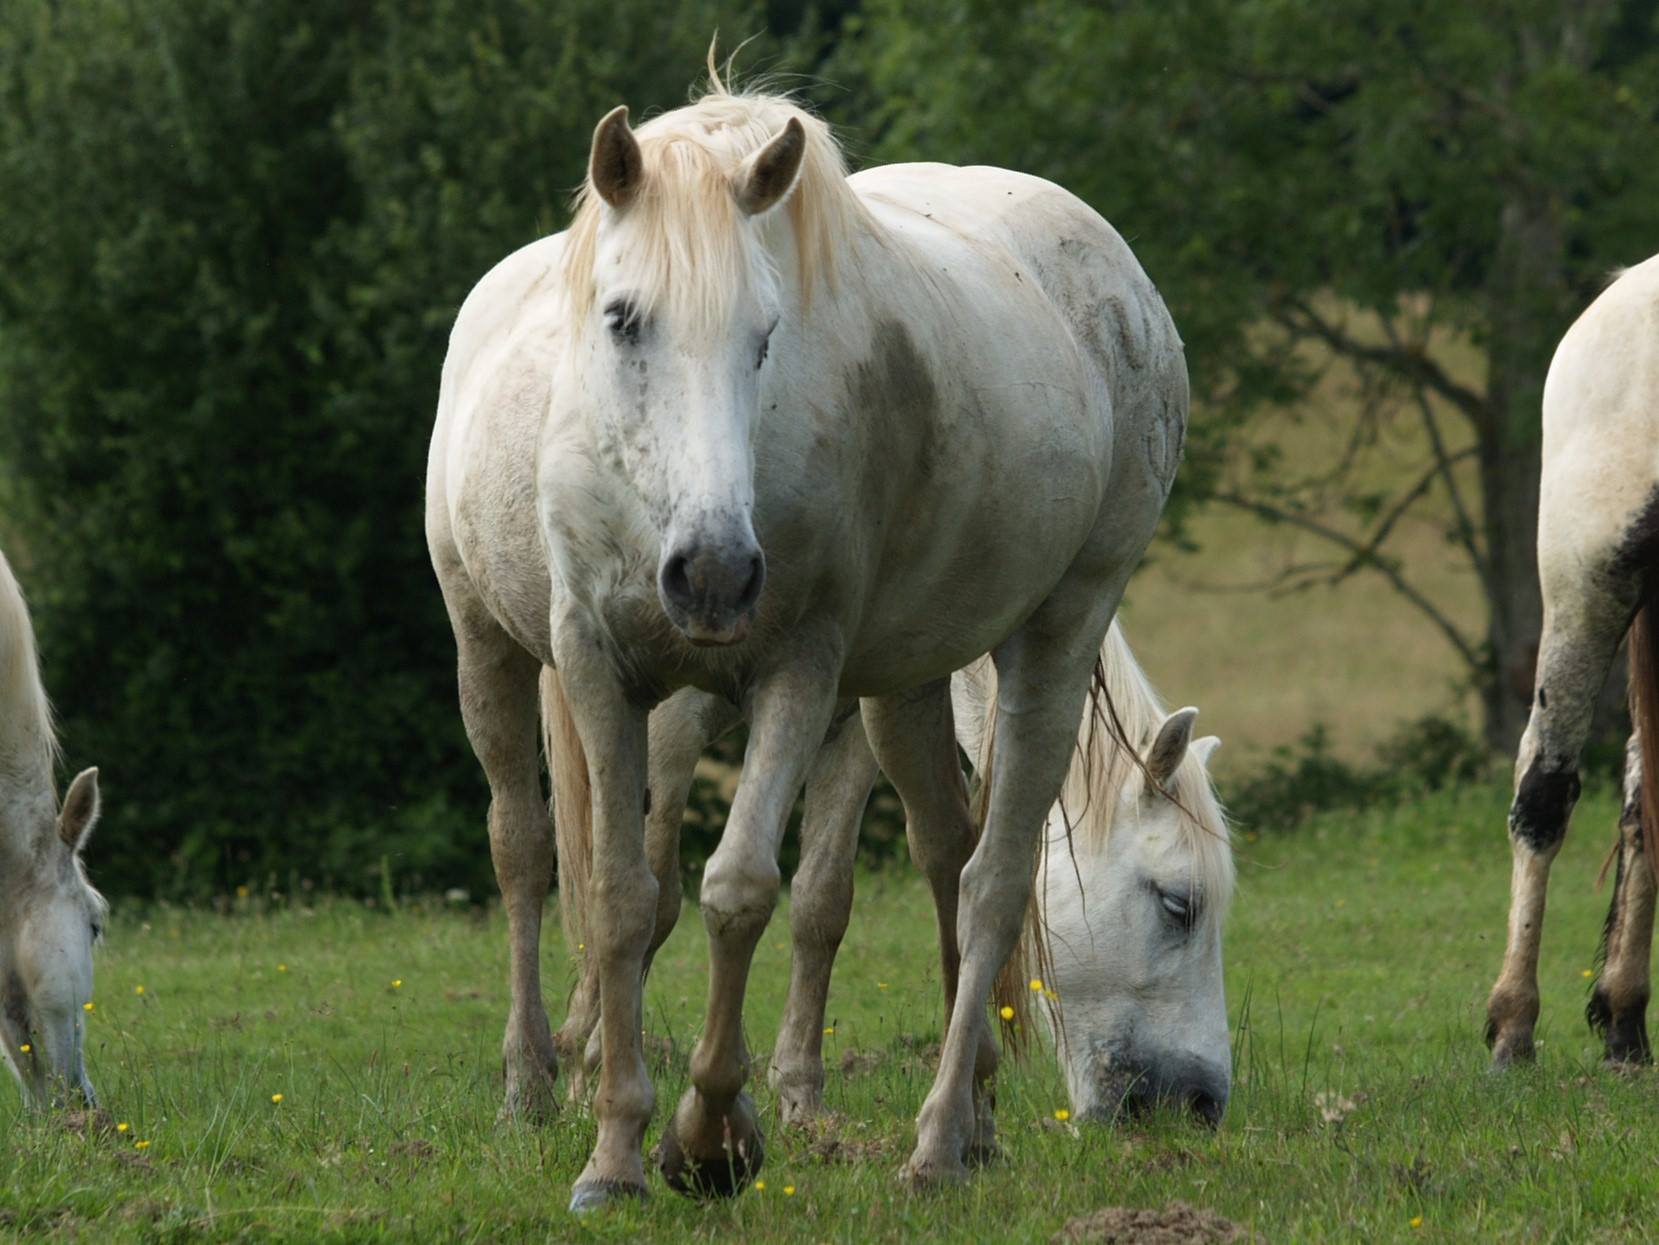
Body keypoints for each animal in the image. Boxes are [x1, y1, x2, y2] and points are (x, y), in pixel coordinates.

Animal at [421, 78, 1187, 1208]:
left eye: (765, 333)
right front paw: (614, 1151)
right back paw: (527, 1087)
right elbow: (617, 896)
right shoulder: (602, 667)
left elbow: (740, 890)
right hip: (490, 646)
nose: (713, 572)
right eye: (622, 318)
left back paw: (944, 1140)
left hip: (1045, 635)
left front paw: (709, 1134)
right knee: (520, 846)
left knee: (986, 879)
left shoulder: (803, 669)